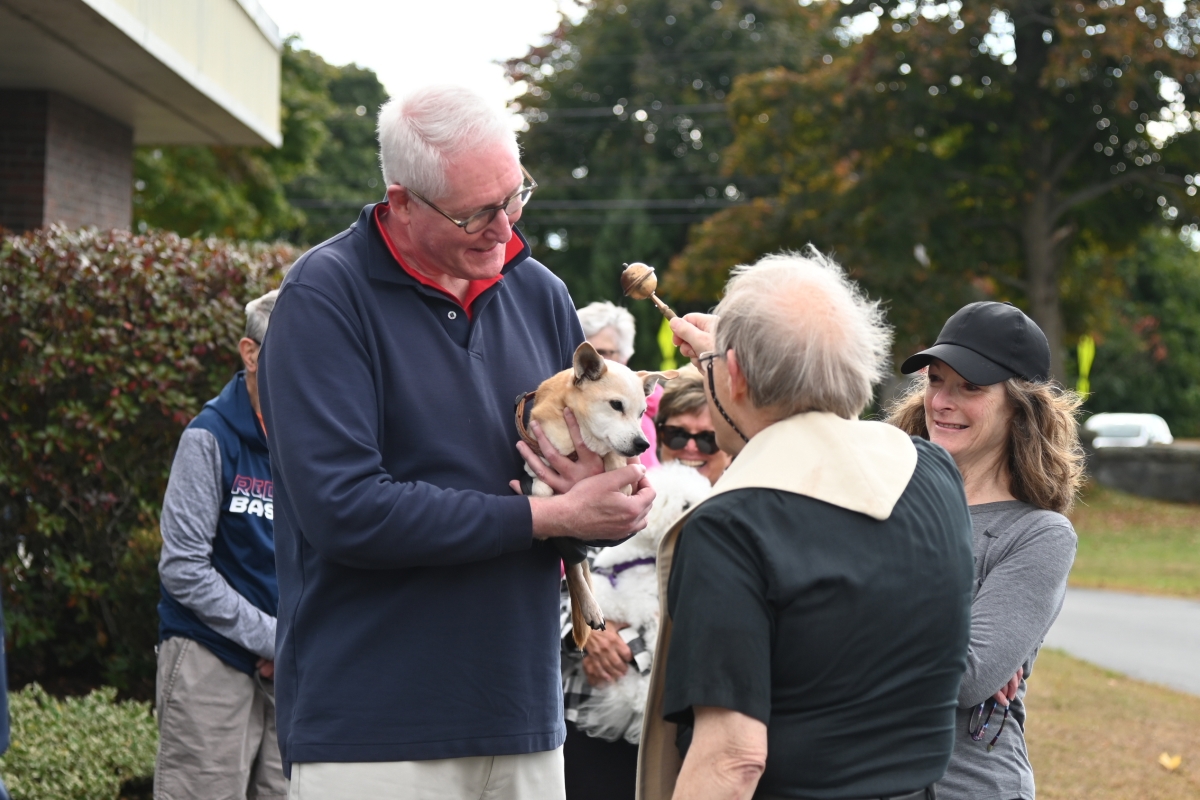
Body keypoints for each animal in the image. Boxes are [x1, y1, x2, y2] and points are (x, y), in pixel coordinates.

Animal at [520, 343, 676, 652]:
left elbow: (615, 462)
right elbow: (542, 485)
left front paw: (618, 476)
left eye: (642, 412)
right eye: (616, 405)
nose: (643, 443)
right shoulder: (535, 461)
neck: (578, 438)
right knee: (574, 568)